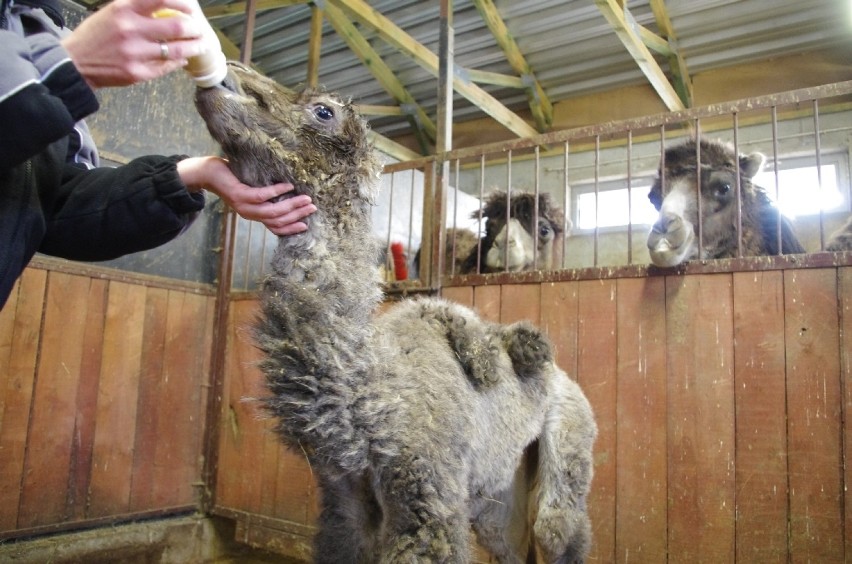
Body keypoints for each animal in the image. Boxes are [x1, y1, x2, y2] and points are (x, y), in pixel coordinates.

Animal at [196, 62, 596, 564]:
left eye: (322, 110)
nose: (224, 77)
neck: (371, 387)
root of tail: (568, 381)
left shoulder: (429, 498)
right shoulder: (344, 502)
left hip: (567, 442)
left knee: (560, 530)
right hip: (498, 500)